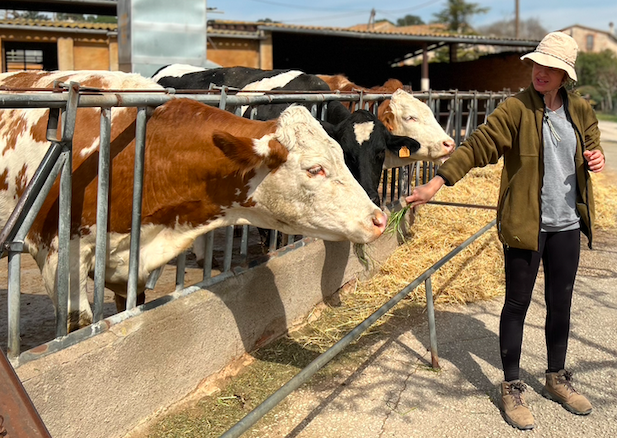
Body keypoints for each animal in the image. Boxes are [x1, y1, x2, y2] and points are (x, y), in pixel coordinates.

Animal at [0, 70, 387, 331]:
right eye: (315, 168)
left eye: (342, 155)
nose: (378, 218)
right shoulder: (57, 256)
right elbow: (78, 321)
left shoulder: (130, 265)